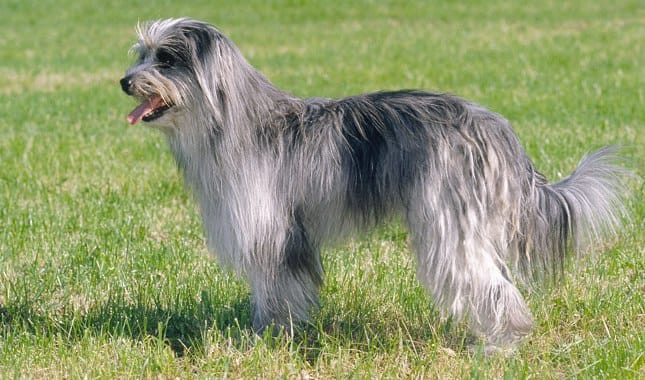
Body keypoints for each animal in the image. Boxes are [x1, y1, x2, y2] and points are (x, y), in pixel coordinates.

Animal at [119, 17, 624, 350]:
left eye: (166, 59)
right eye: (142, 54)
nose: (124, 81)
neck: (233, 122)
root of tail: (494, 129)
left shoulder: (274, 236)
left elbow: (276, 294)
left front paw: (262, 343)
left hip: (449, 225)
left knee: (491, 285)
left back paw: (501, 344)